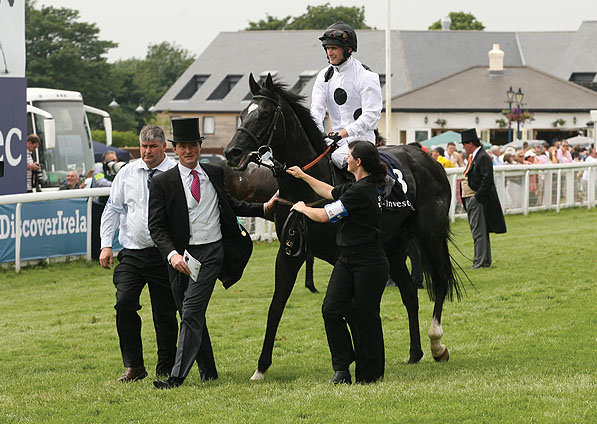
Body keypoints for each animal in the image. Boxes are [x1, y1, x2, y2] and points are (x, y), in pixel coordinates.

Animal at [224, 73, 460, 380]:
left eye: (263, 115)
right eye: (242, 115)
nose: (231, 152)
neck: (307, 187)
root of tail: (430, 160)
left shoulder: (342, 255)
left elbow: (350, 308)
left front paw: (358, 362)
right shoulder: (290, 253)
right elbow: (276, 306)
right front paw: (261, 368)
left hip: (429, 235)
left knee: (440, 280)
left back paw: (436, 344)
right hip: (392, 245)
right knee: (409, 292)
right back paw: (414, 353)